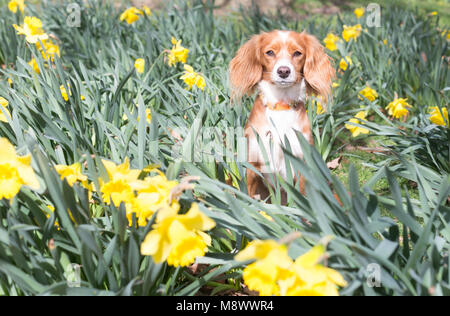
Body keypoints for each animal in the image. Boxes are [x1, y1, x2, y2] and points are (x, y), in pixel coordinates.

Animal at [230, 30, 336, 202]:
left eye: (298, 53)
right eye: (270, 52)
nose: (284, 71)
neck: (281, 106)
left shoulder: (302, 165)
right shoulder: (252, 166)